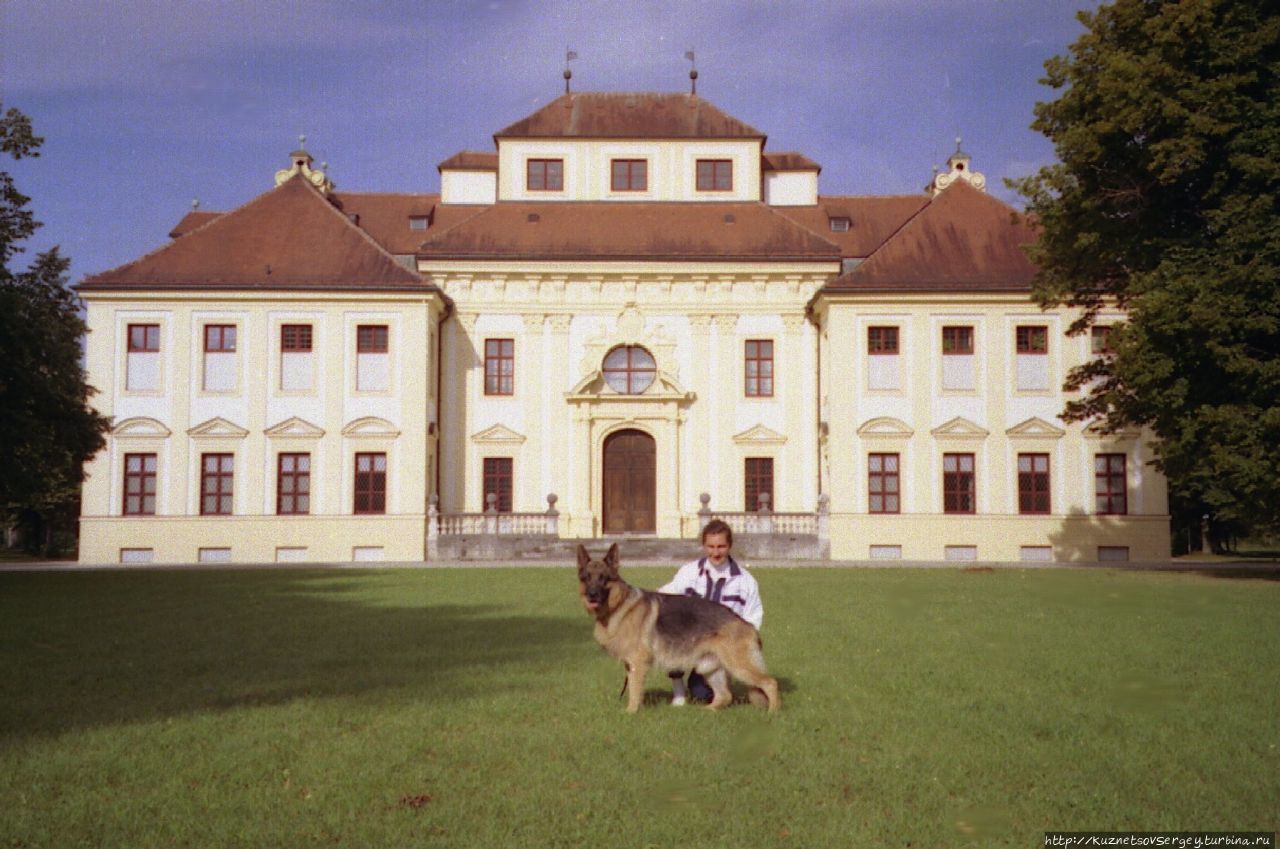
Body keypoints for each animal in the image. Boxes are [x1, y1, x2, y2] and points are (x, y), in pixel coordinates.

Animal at [581, 540, 778, 711]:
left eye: (603, 578)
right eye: (587, 578)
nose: (592, 595)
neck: (619, 605)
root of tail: (748, 625)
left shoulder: (637, 662)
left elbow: (635, 691)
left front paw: (631, 712)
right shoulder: (630, 664)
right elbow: (633, 689)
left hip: (738, 666)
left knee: (770, 683)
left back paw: (773, 713)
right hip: (711, 668)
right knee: (725, 696)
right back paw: (706, 711)